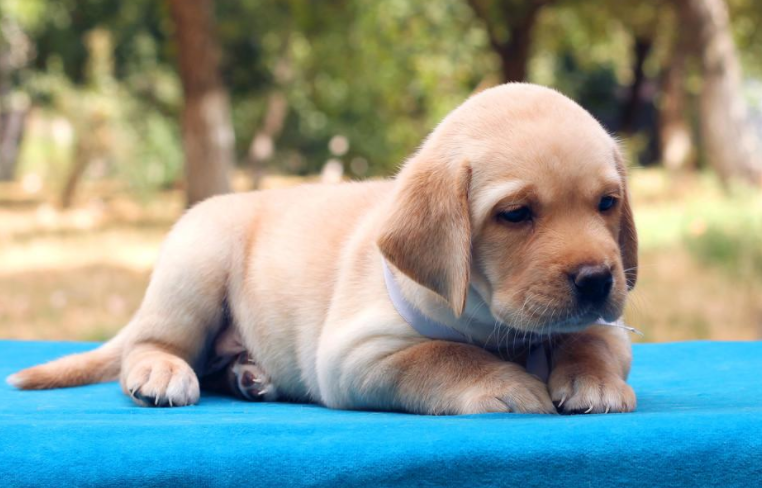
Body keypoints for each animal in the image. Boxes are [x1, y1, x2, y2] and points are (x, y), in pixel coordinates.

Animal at [7, 84, 636, 416]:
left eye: (607, 204)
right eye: (515, 214)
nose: (597, 280)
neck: (495, 324)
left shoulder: (608, 328)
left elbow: (590, 342)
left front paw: (594, 380)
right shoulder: (355, 357)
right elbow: (442, 355)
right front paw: (505, 384)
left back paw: (249, 375)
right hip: (195, 266)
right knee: (151, 344)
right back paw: (163, 371)